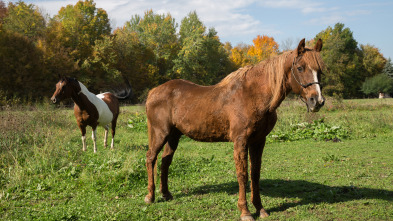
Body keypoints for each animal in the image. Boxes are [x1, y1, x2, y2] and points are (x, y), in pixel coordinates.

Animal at [144, 38, 324, 220]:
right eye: (300, 68)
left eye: (320, 71)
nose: (317, 101)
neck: (253, 95)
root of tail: (154, 92)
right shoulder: (240, 141)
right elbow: (242, 175)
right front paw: (245, 211)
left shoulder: (258, 141)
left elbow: (255, 174)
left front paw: (260, 208)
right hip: (160, 134)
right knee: (151, 158)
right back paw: (150, 196)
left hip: (174, 135)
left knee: (165, 161)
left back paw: (166, 194)